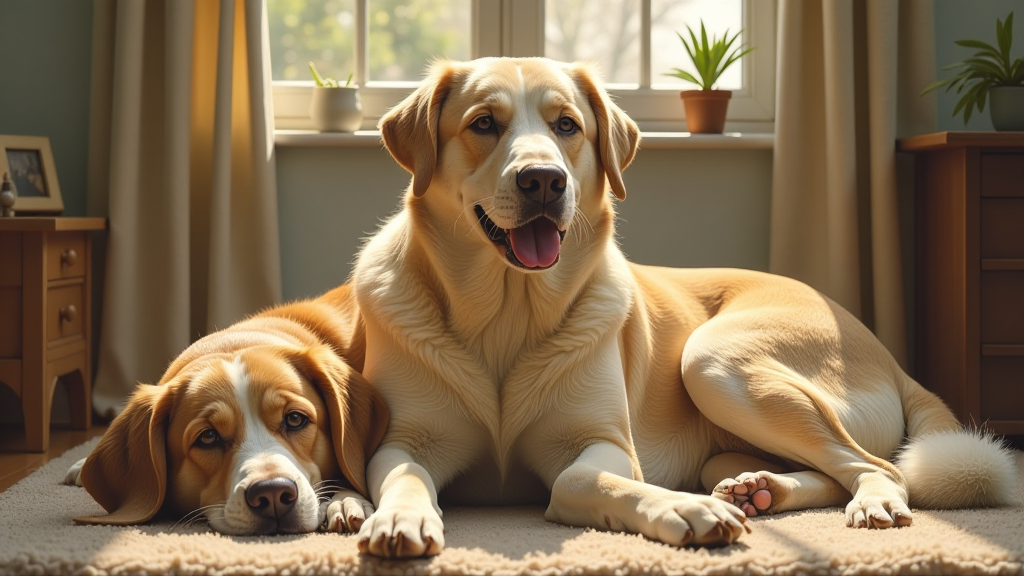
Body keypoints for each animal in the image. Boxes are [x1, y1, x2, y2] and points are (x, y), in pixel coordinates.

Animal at [346, 56, 1015, 553]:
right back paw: (756, 490)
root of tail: (888, 355)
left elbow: (580, 477)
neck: (506, 313)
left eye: (567, 126)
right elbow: (406, 476)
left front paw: (682, 511)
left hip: (713, 359)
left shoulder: (605, 442)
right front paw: (400, 518)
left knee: (880, 466)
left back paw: (865, 502)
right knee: (829, 470)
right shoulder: (402, 440)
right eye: (484, 124)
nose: (544, 180)